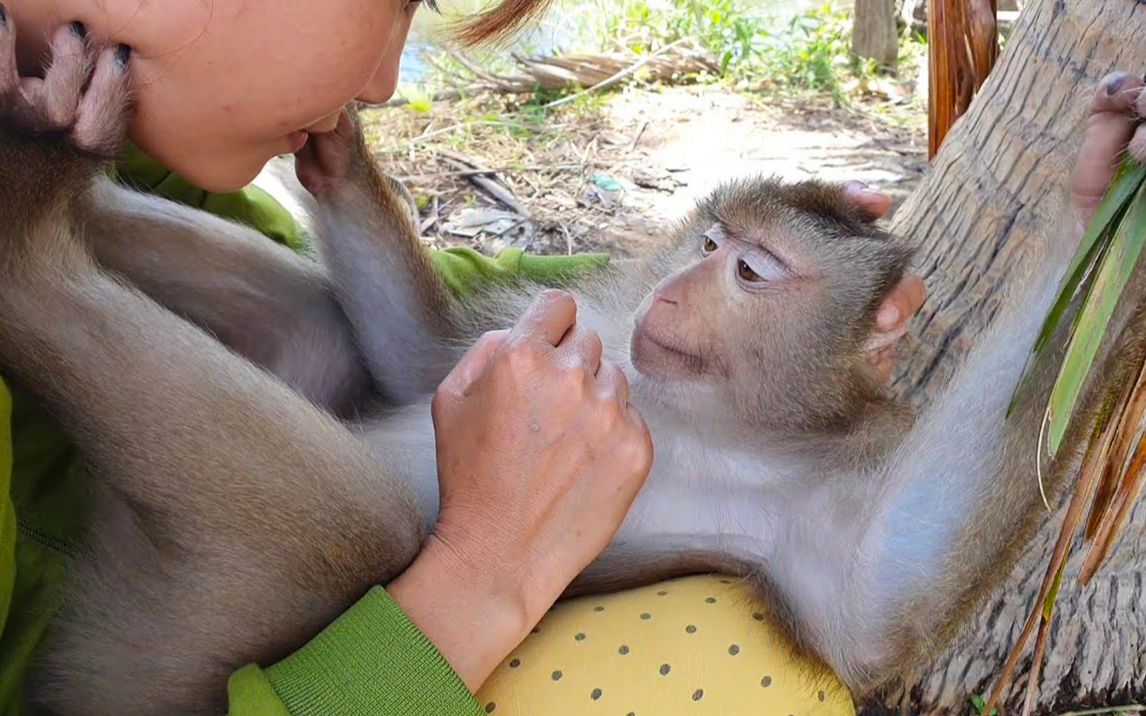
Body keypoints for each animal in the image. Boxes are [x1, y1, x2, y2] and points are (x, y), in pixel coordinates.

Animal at [0, 22, 1086, 714]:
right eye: (708, 244)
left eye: (750, 271)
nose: (673, 293)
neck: (712, 409)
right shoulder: (599, 316)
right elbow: (421, 357)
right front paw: (334, 143)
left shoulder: (812, 504)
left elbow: (881, 596)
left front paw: (1093, 204)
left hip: (163, 649)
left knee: (354, 525)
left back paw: (36, 225)